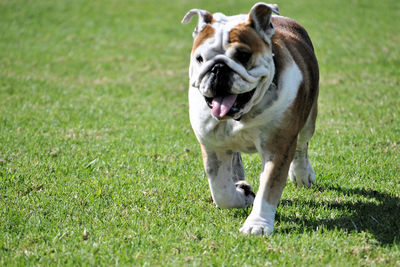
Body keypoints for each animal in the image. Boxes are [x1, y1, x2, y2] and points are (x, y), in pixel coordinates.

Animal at [182, 2, 318, 237]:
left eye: (243, 55)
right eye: (200, 59)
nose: (218, 67)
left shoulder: (278, 147)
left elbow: (268, 189)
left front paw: (257, 225)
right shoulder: (213, 147)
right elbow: (221, 189)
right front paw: (242, 195)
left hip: (309, 120)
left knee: (302, 145)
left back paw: (302, 174)